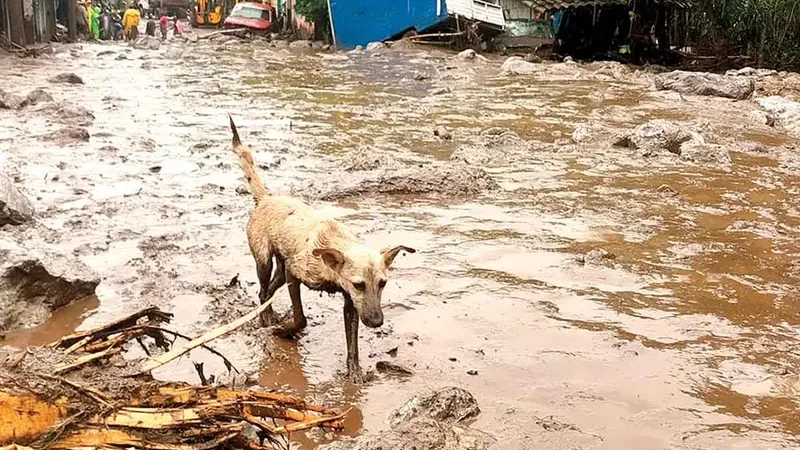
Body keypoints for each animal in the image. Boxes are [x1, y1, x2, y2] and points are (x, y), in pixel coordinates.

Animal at [228, 117, 416, 384]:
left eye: (383, 283)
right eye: (359, 284)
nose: (376, 322)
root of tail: (265, 199)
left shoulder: (350, 303)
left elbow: (352, 343)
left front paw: (354, 371)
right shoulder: (295, 274)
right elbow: (301, 318)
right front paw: (284, 330)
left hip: (280, 270)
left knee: (266, 293)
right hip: (264, 262)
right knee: (263, 291)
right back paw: (267, 320)